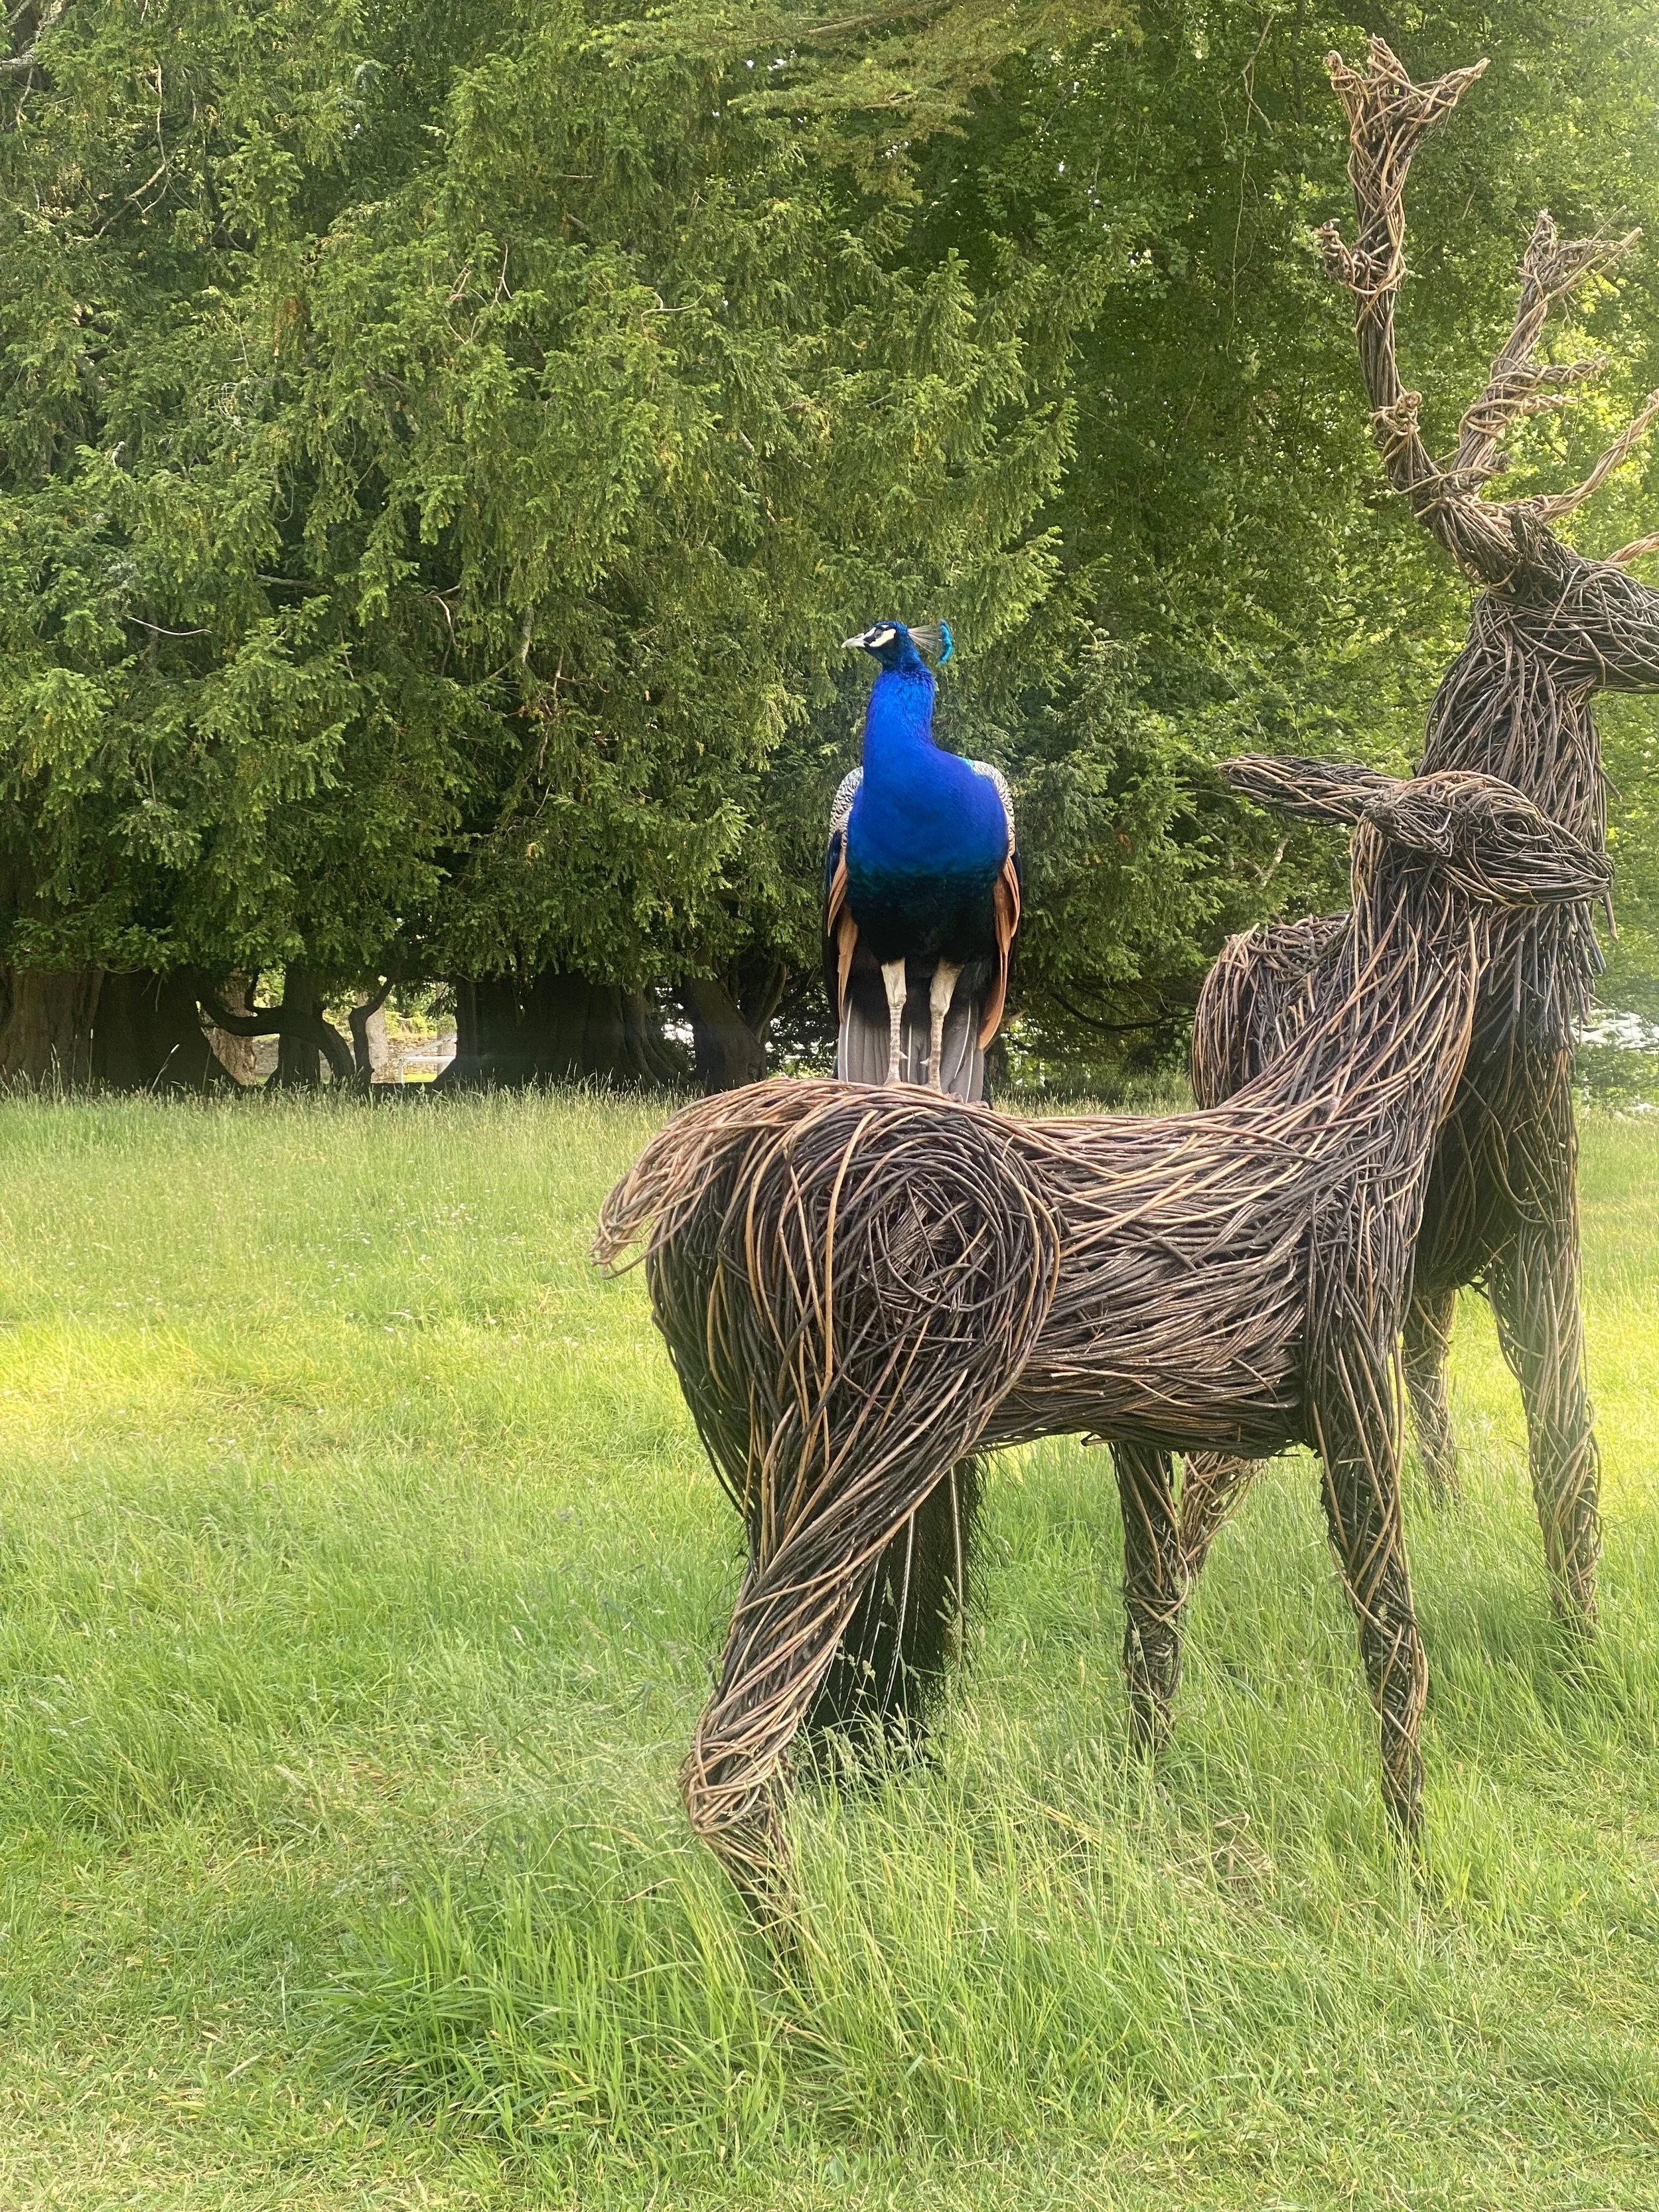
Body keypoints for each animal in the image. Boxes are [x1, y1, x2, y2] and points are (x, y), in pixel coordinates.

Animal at [596, 754, 1609, 1922]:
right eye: (1505, 820)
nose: (1593, 870)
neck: (1353, 1119)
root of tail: (698, 1178)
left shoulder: (1144, 1423)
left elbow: (1152, 1632)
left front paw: (1146, 1800)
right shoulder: (1354, 1375)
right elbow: (1392, 1643)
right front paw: (1416, 1871)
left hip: (766, 1439)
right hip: (890, 1427)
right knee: (734, 1750)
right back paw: (822, 1976)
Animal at [1178, 41, 1659, 1605]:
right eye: (1606, 588)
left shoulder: (1538, 1202)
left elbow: (1570, 1448)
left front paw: (1576, 1637)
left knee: (1436, 1364)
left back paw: (1448, 1500)